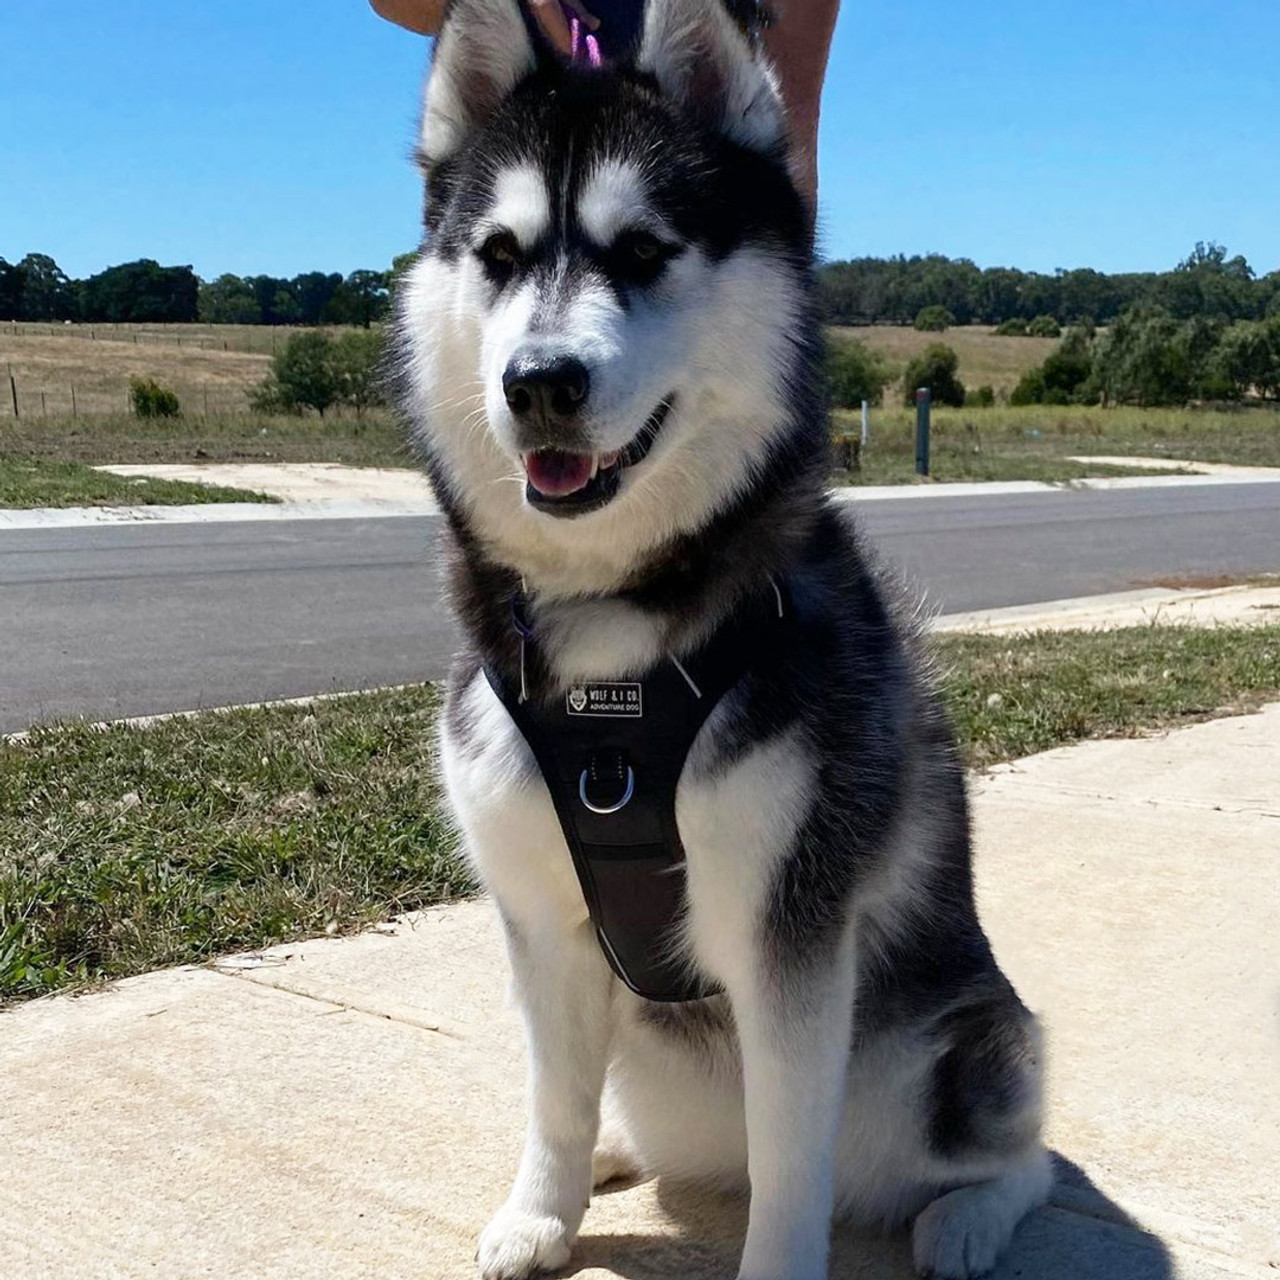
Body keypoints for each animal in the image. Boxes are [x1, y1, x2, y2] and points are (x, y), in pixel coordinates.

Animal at [396, 2, 1049, 1280]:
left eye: (644, 250)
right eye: (496, 254)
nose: (538, 382)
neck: (612, 654)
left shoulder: (787, 927)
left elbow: (792, 1158)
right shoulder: (541, 920)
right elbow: (551, 1091)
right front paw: (543, 1208)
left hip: (959, 1046)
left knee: (1016, 1154)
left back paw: (962, 1221)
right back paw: (614, 1153)